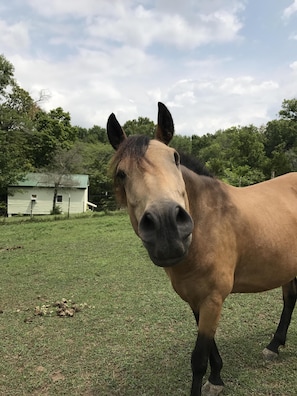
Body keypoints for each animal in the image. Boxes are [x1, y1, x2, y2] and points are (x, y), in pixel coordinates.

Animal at [105, 103, 294, 396]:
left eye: (175, 158)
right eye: (121, 173)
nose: (166, 225)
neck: (208, 223)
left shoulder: (213, 299)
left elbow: (198, 358)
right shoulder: (196, 299)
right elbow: (210, 349)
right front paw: (217, 378)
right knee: (290, 300)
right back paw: (274, 346)